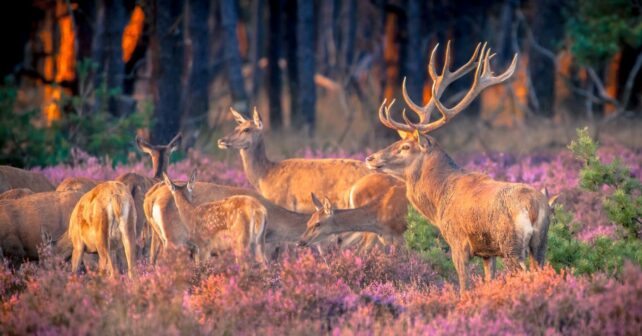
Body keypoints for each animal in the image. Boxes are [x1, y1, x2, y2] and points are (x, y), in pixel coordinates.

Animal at [364, 41, 552, 294]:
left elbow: (464, 285)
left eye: (405, 146)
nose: (371, 158)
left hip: (511, 244)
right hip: (541, 242)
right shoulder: (487, 252)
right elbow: (488, 279)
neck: (438, 199)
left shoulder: (457, 241)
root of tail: (533, 206)